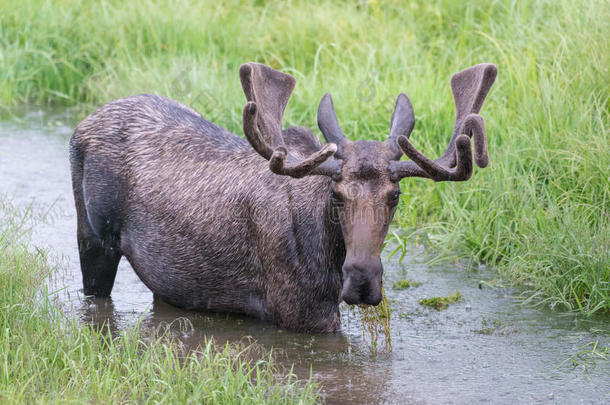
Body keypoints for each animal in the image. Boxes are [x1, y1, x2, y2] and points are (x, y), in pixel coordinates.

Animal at [70, 61, 494, 330]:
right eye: (336, 194)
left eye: (395, 195)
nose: (362, 281)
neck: (329, 253)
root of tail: (82, 124)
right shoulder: (301, 314)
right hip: (93, 238)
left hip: (169, 282)